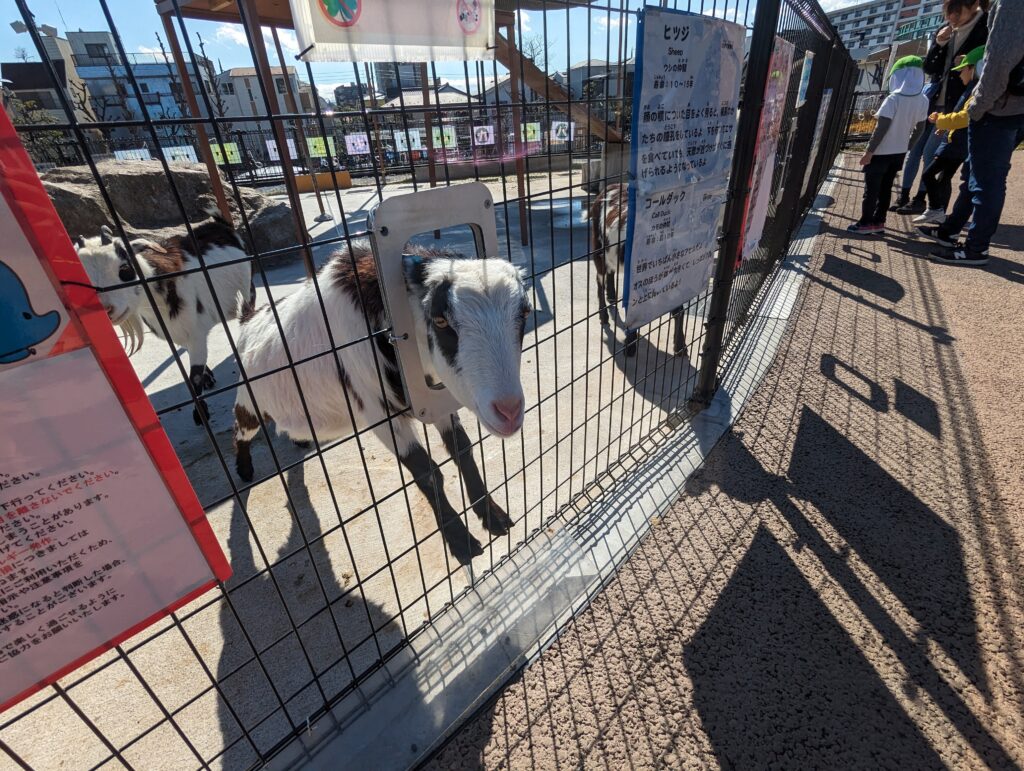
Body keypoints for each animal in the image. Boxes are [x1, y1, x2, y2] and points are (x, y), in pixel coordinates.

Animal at [74, 213, 253, 423]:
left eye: (125, 268)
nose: (106, 310)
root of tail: (219, 223)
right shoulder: (178, 333)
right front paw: (208, 379)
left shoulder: (196, 334)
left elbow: (194, 376)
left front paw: (200, 414)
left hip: (247, 289)